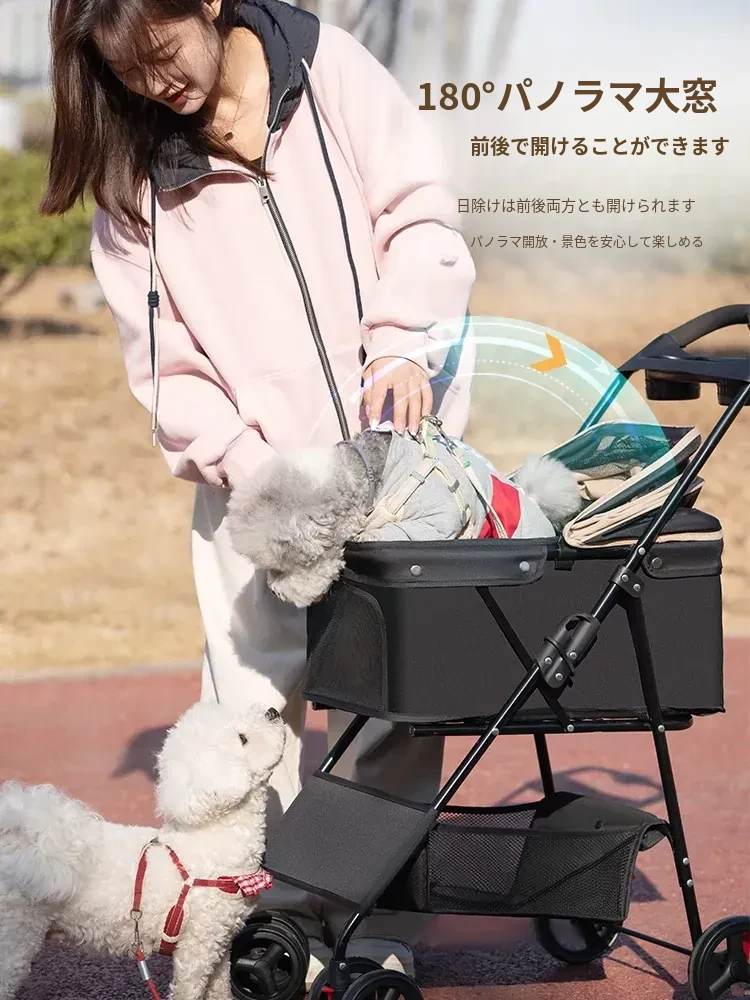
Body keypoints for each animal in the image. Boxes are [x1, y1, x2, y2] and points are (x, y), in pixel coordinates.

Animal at [0, 701, 285, 1000]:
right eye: (242, 739)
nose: (273, 711)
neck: (213, 838)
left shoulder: (219, 944)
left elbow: (220, 991)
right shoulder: (196, 950)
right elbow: (188, 990)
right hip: (15, 937)